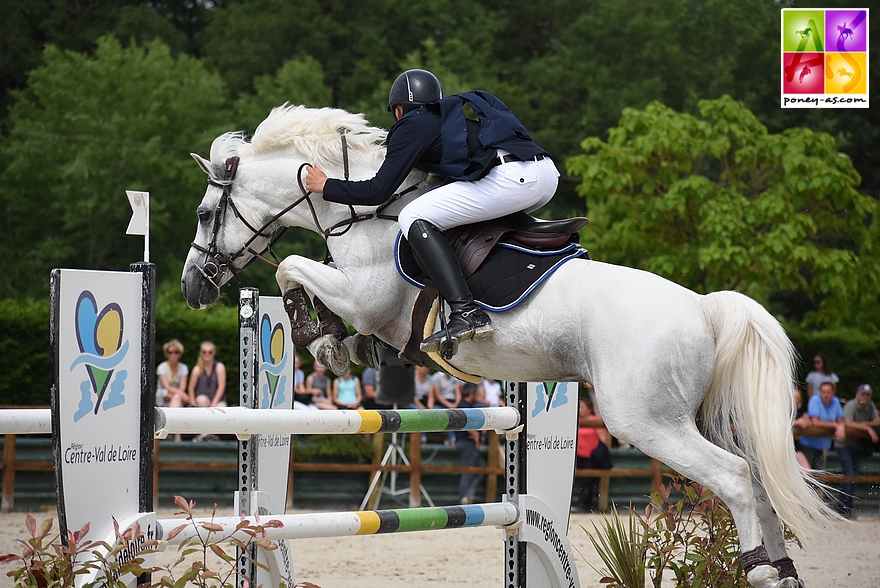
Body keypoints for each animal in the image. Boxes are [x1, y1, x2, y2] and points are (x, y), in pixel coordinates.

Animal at [182, 103, 836, 584]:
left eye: (207, 212)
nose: (192, 286)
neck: (366, 212)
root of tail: (703, 307)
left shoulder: (367, 297)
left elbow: (293, 268)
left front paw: (317, 338)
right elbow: (316, 289)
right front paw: (343, 348)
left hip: (648, 421)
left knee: (735, 479)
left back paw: (759, 571)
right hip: (689, 417)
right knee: (758, 479)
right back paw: (783, 570)